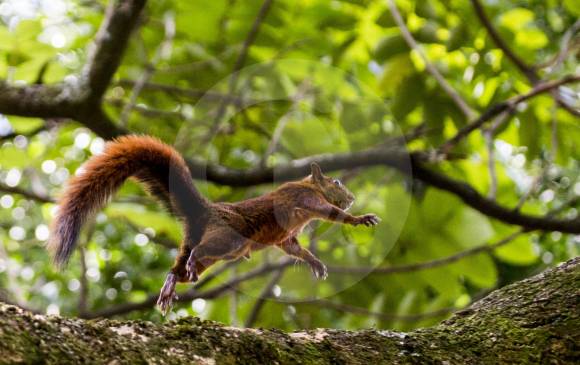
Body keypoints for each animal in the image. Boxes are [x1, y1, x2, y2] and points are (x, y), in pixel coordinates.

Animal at [46, 135, 380, 312]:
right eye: (337, 182)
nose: (351, 197)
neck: (309, 184)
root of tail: (202, 213)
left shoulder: (288, 236)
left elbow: (293, 248)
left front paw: (315, 263)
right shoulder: (303, 198)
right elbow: (328, 212)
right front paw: (359, 217)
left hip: (203, 246)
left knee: (177, 268)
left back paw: (169, 287)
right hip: (228, 239)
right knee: (199, 253)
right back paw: (187, 269)